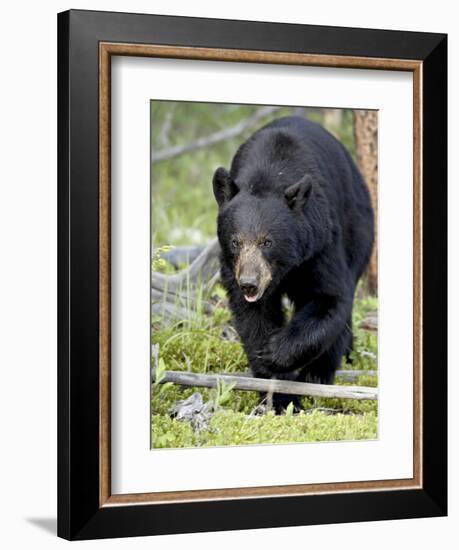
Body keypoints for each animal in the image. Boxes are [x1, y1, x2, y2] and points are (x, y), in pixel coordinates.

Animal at [214, 116, 376, 414]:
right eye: (235, 241)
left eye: (267, 241)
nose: (249, 283)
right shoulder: (233, 268)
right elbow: (252, 316)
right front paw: (278, 393)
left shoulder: (319, 243)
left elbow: (330, 297)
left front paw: (275, 353)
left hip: (358, 228)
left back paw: (320, 374)